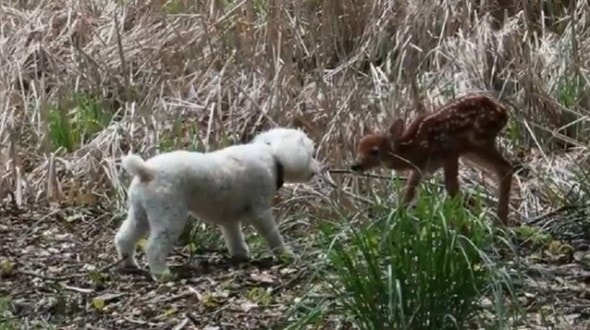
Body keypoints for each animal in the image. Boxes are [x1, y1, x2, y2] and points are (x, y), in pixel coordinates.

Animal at [113, 127, 322, 282]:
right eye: (311, 154)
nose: (316, 170)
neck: (271, 154)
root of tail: (146, 171)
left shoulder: (229, 218)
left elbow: (234, 236)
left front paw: (241, 255)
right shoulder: (260, 209)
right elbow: (272, 234)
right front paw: (285, 254)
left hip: (140, 213)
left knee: (124, 237)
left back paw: (129, 263)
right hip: (169, 215)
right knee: (154, 247)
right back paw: (162, 274)